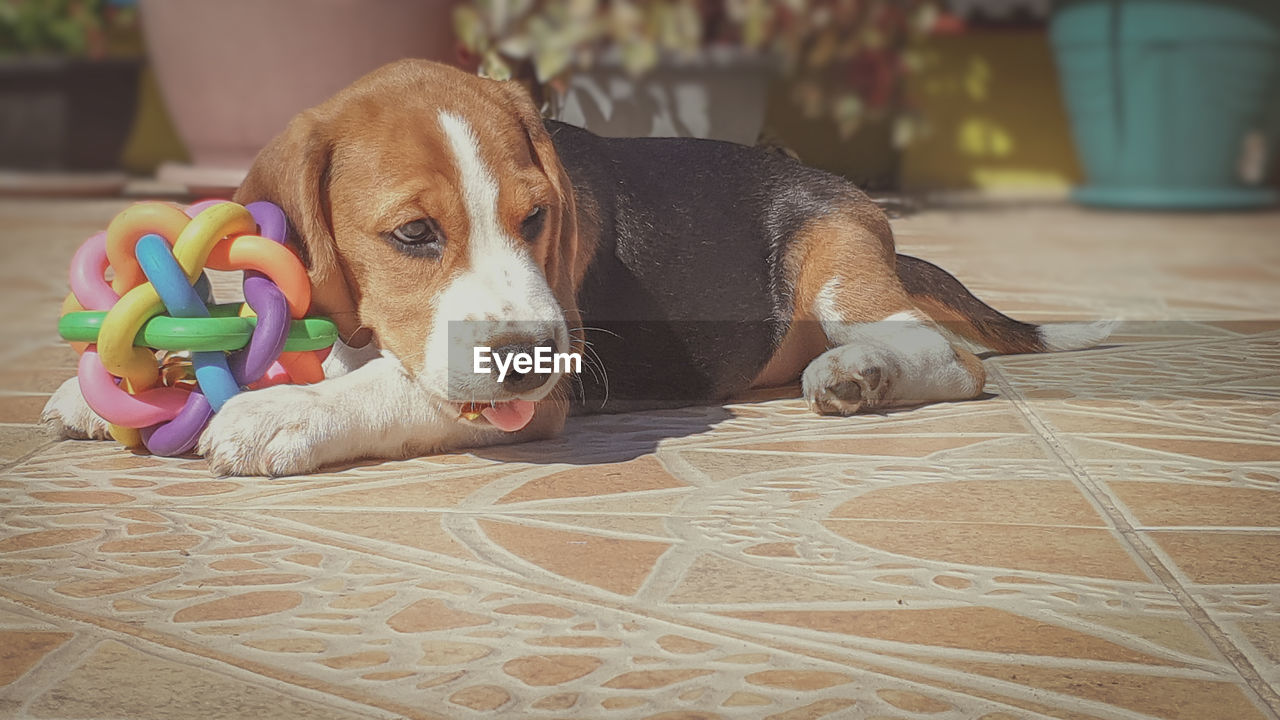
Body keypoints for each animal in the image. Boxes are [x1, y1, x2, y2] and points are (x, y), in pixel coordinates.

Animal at [45, 61, 1111, 474]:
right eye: (414, 235)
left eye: (535, 217)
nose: (529, 353)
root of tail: (836, 187)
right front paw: (112, 391)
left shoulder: (530, 396)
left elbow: (388, 389)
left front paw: (282, 413)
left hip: (837, 269)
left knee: (953, 361)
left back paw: (859, 375)